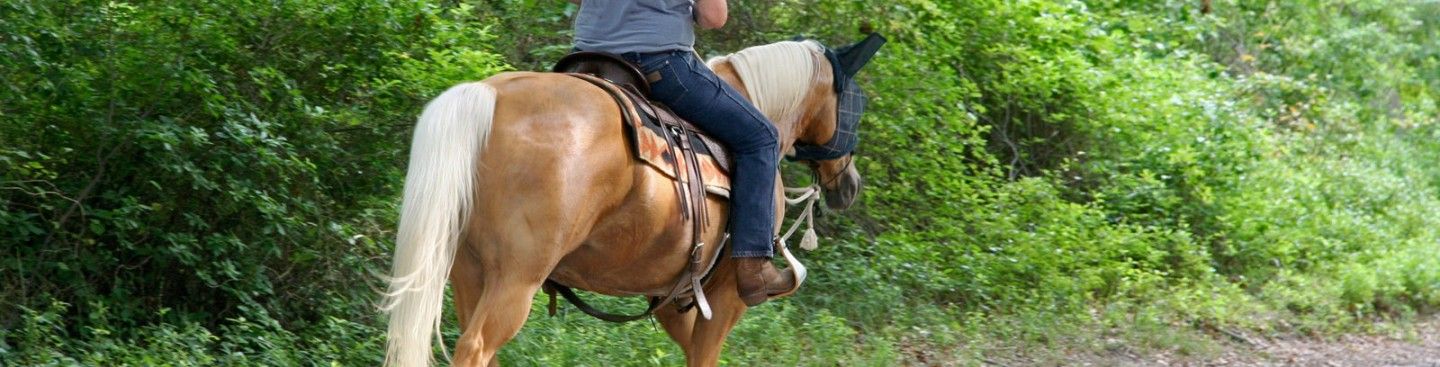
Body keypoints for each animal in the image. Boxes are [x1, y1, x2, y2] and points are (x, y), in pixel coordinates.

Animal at [383, 37, 875, 367]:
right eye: (855, 103)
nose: (849, 184)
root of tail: (491, 94)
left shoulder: (674, 297)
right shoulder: (727, 295)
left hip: (468, 269)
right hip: (515, 279)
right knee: (476, 347)